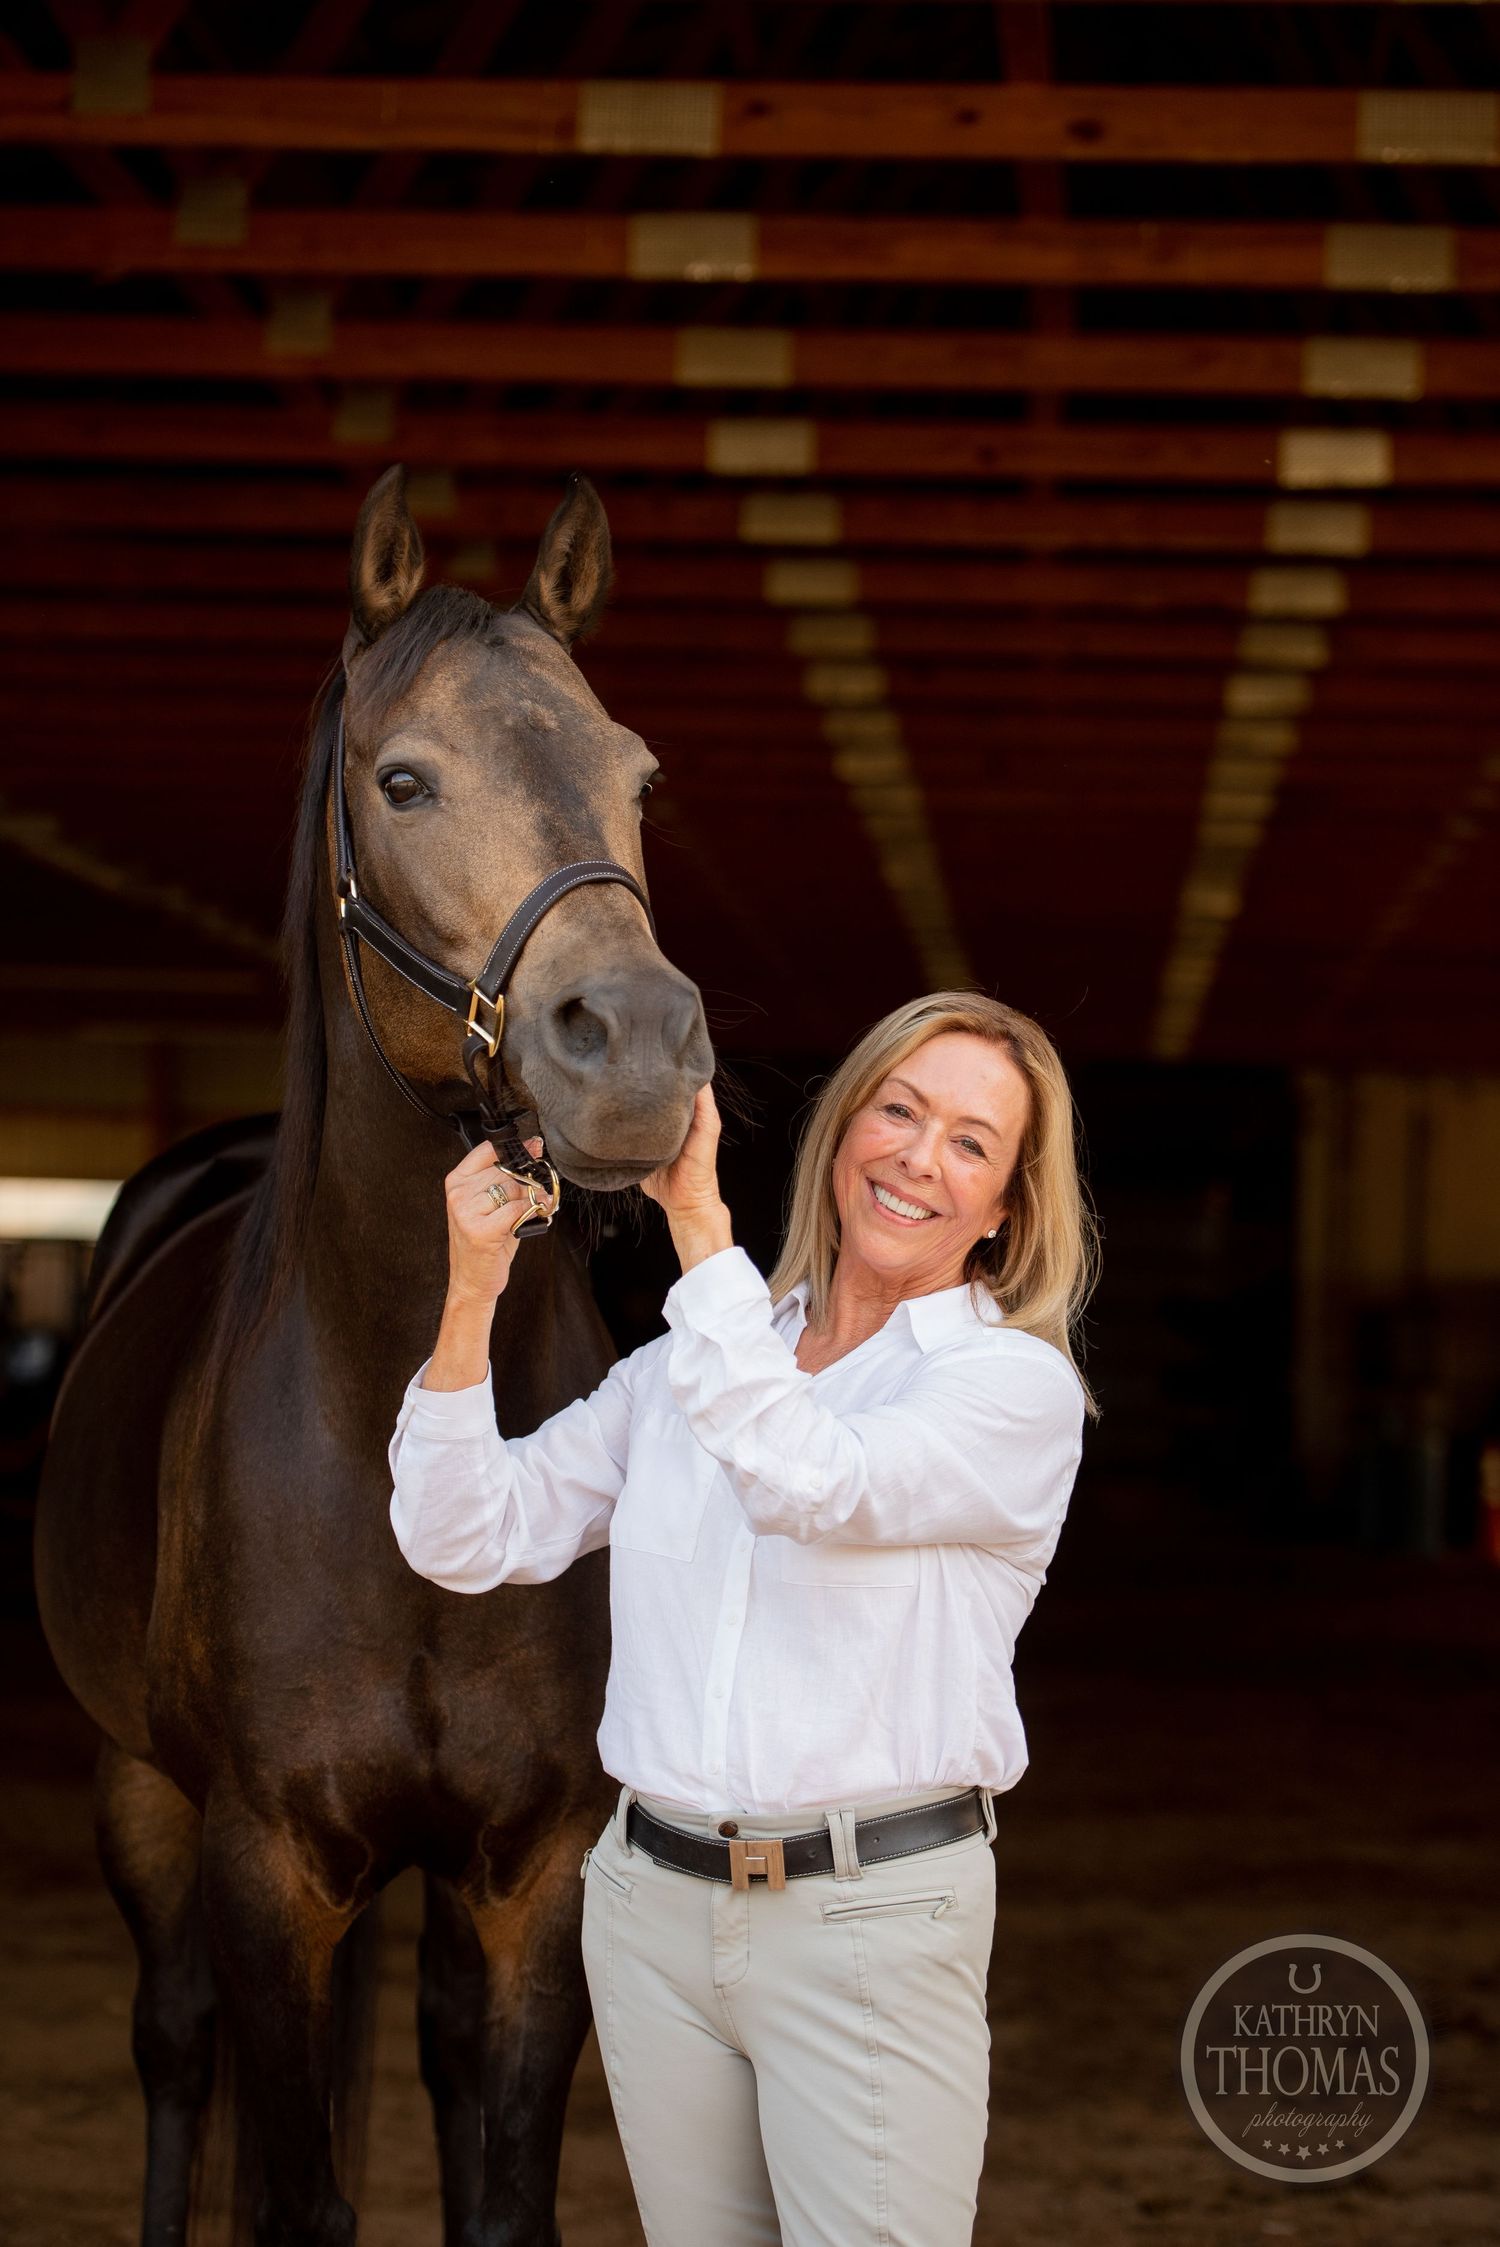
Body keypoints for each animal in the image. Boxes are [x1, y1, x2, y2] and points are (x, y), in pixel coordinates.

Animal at [34, 465, 714, 2247]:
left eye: (638, 776)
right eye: (403, 778)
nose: (637, 1046)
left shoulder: (534, 1865)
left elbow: (501, 2182)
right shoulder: (265, 1861)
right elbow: (289, 2188)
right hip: (142, 1797)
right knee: (176, 2049)